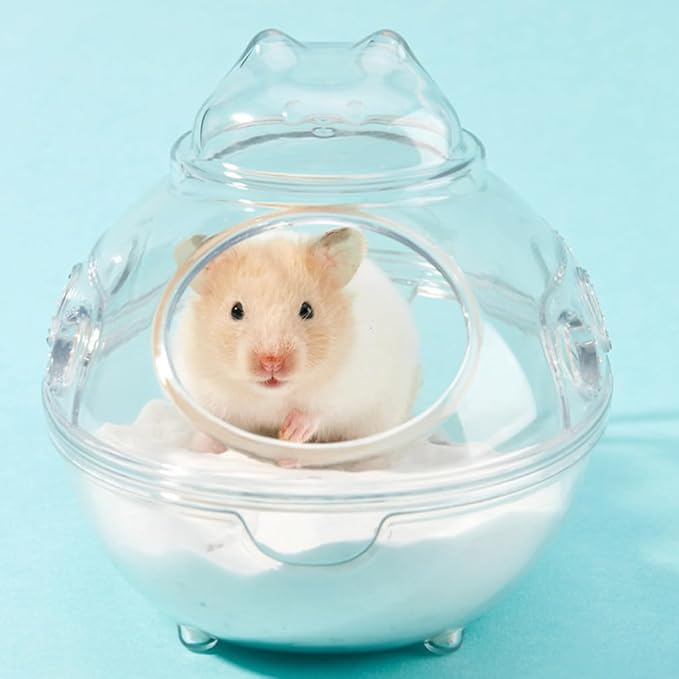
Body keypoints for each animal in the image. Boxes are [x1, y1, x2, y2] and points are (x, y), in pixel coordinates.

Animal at [174, 227, 420, 457]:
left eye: (307, 310)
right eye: (236, 310)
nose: (271, 362)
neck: (272, 396)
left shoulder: (348, 387)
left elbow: (318, 411)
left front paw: (292, 432)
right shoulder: (202, 389)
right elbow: (208, 423)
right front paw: (202, 448)